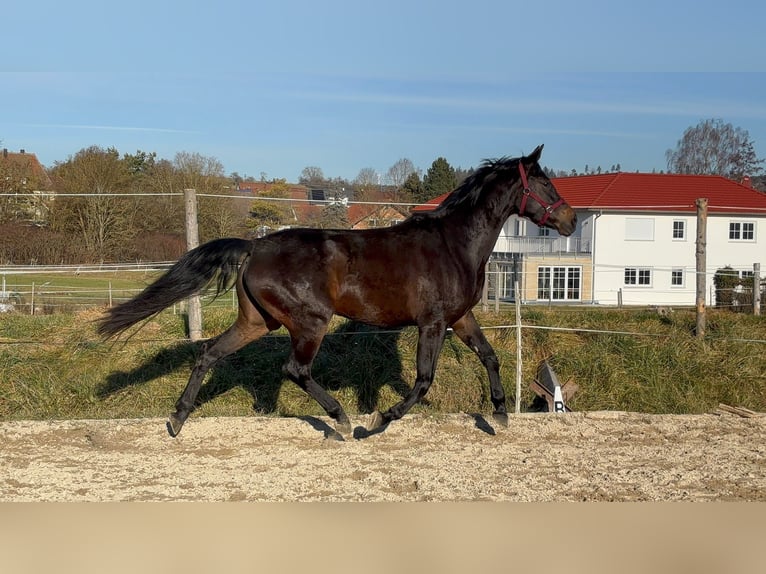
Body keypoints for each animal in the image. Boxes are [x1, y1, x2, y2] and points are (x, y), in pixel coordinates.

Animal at [98, 144, 577, 438]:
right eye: (547, 184)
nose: (571, 220)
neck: (453, 243)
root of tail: (254, 245)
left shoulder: (460, 317)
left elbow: (490, 356)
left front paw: (500, 414)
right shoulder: (433, 322)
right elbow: (422, 381)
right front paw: (378, 419)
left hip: (257, 321)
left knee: (209, 353)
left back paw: (177, 419)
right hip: (311, 321)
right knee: (295, 369)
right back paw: (342, 420)